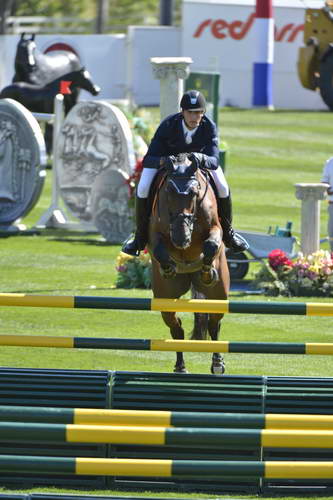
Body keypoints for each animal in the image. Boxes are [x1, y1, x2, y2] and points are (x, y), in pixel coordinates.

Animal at [148, 152, 228, 376]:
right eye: (168, 191)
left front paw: (207, 272)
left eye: (194, 192)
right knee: (176, 327)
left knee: (214, 324)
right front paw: (168, 268)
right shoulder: (154, 233)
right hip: (165, 298)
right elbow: (159, 249)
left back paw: (217, 363)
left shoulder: (215, 228)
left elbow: (211, 244)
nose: (181, 238)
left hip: (219, 295)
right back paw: (180, 366)